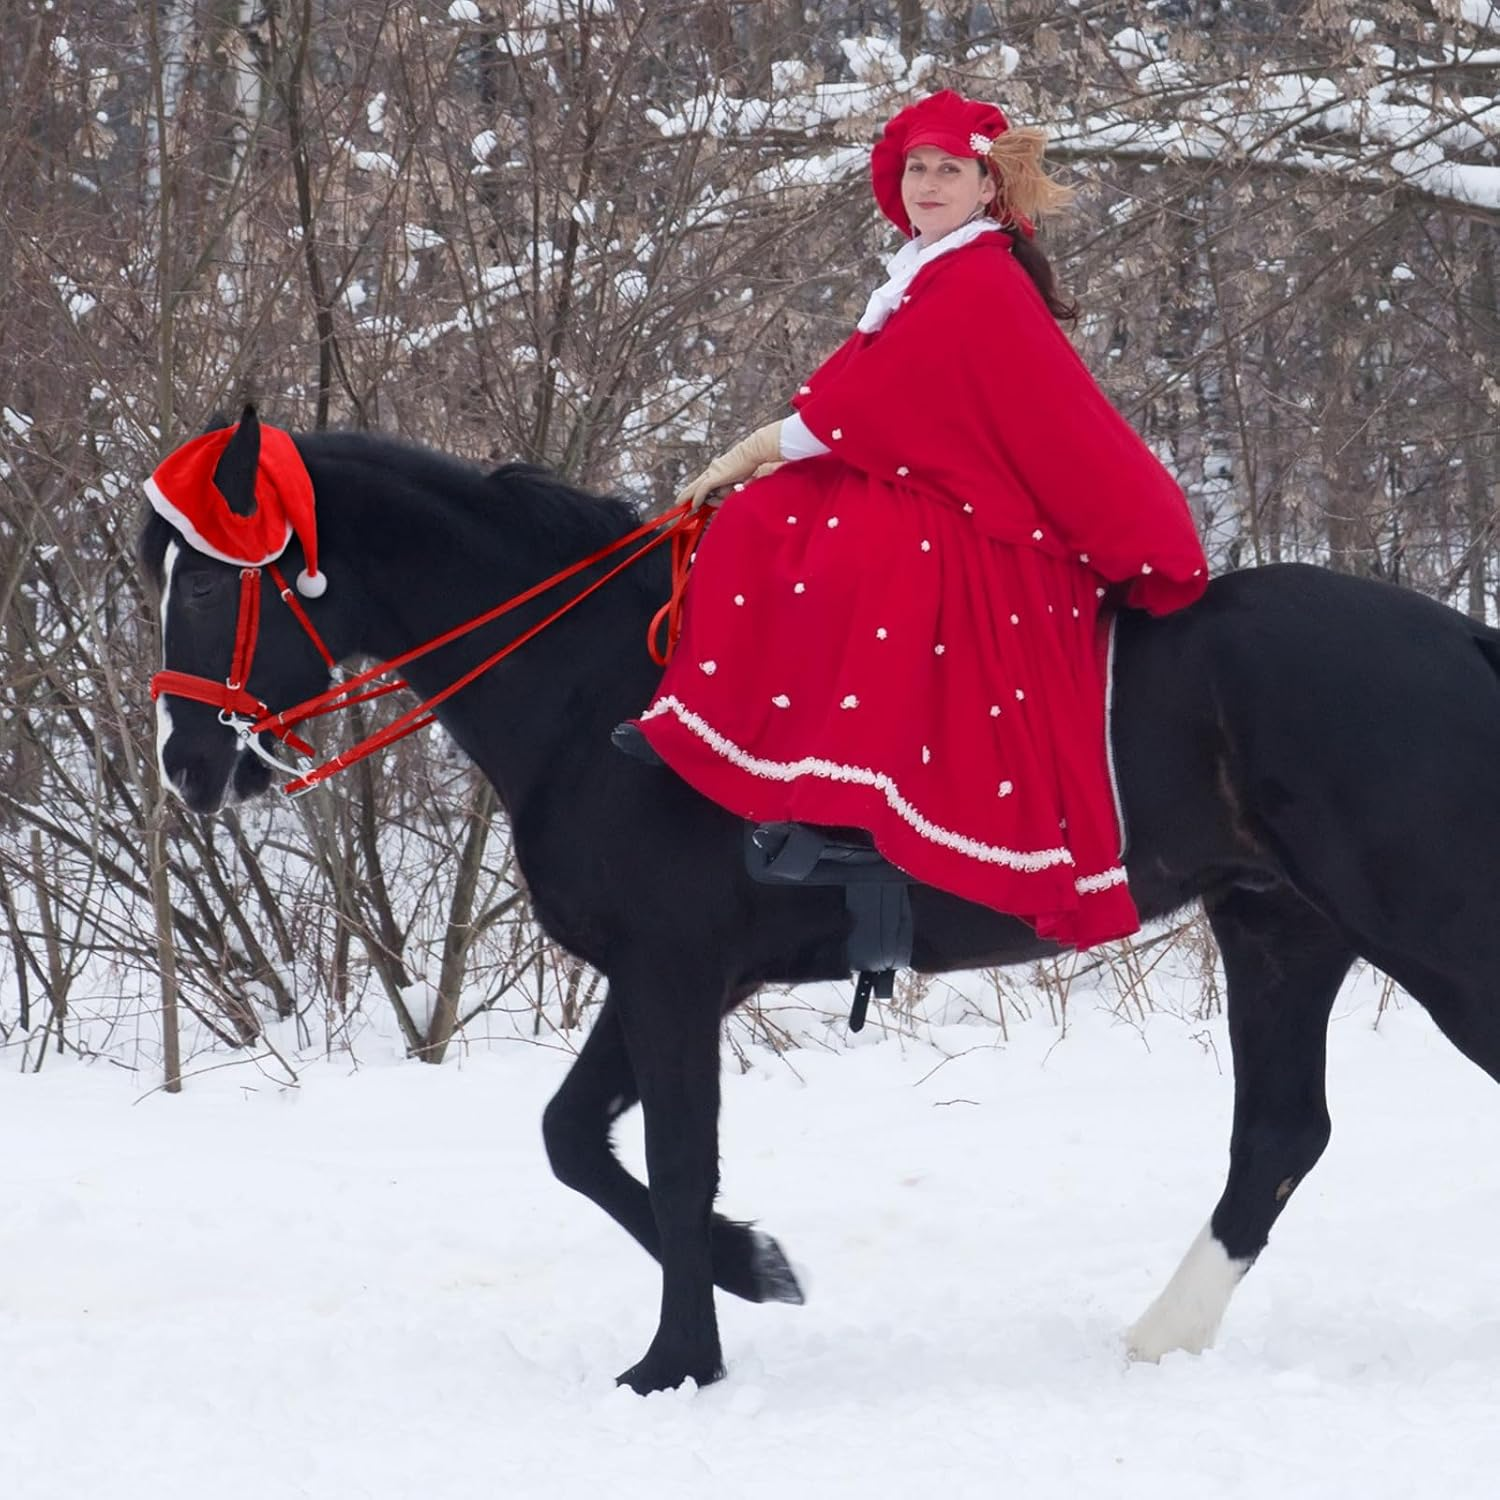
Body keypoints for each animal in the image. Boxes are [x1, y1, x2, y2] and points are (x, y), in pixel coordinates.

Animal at [139, 410, 1500, 1394]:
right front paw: (756, 1268)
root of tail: (1466, 644)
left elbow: (672, 1156)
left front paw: (676, 1362)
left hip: (1430, 940)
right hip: (1279, 930)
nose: (187, 765)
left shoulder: (673, 969)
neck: (596, 689)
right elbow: (576, 1139)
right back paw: (1160, 1339)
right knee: (1278, 1136)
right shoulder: (667, 974)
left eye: (203, 588)